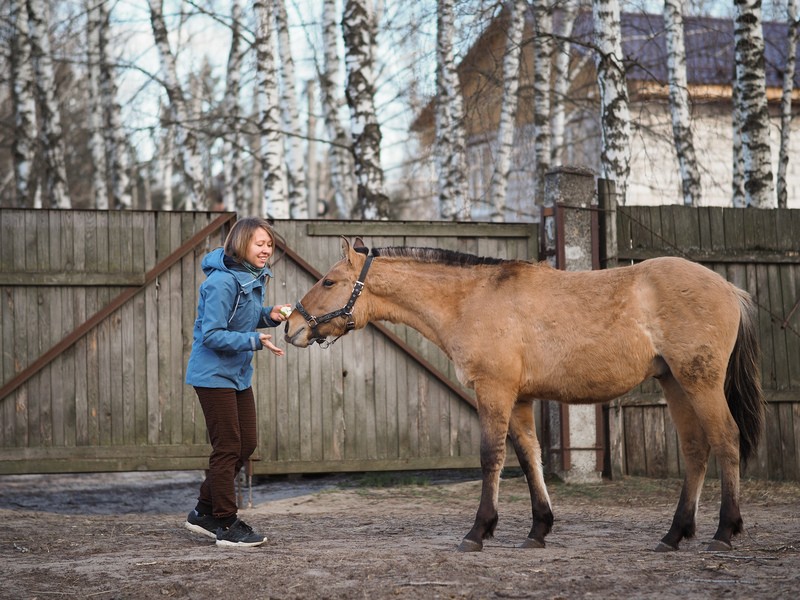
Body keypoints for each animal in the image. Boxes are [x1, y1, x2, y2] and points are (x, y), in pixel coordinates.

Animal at [284, 238, 764, 552]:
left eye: (329, 282)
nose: (291, 326)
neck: (470, 299)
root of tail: (729, 288)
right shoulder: (519, 398)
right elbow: (529, 455)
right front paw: (539, 529)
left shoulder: (494, 391)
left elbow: (491, 457)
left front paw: (478, 531)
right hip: (675, 383)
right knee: (697, 449)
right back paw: (675, 534)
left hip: (699, 382)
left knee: (726, 440)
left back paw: (724, 532)